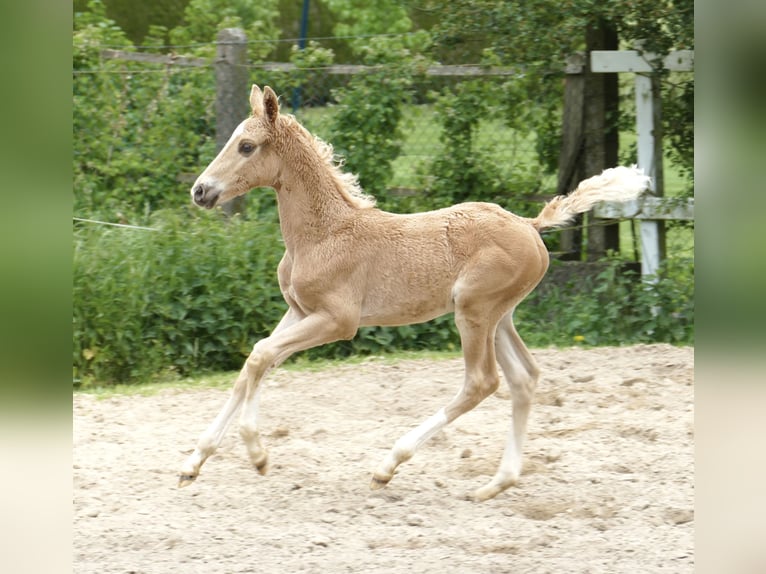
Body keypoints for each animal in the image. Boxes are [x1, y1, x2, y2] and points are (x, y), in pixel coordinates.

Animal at [182, 83, 656, 502]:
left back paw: (388, 465)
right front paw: (194, 462)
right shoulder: (298, 312)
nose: (200, 191)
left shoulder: (337, 321)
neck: (323, 234)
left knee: (482, 382)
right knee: (524, 378)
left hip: (474, 311)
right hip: (499, 316)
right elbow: (255, 362)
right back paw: (495, 484)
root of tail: (529, 225)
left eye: (247, 146)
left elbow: (262, 356)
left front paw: (257, 454)